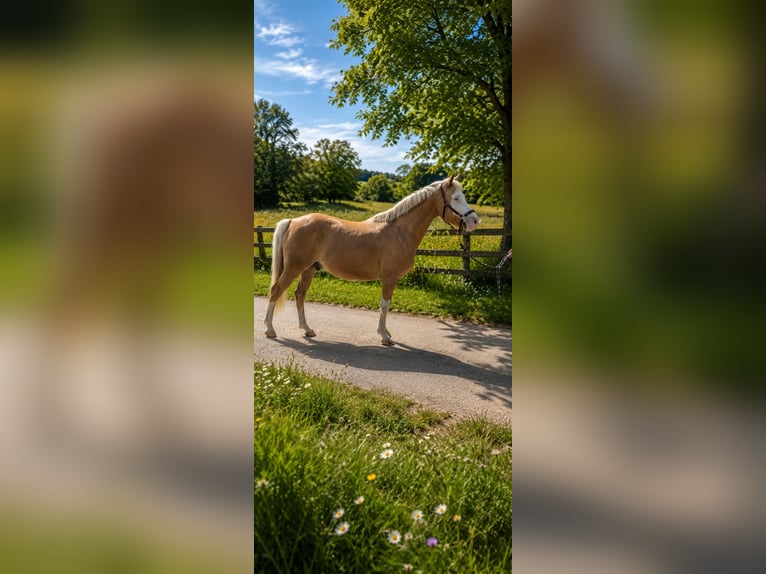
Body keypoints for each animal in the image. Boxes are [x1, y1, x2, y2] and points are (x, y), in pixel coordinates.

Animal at [263, 175, 481, 345]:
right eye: (456, 198)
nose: (475, 221)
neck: (400, 231)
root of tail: (293, 221)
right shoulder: (389, 277)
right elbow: (384, 304)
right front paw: (384, 336)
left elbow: (387, 304)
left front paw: (386, 332)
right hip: (293, 268)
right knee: (275, 291)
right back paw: (270, 329)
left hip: (309, 269)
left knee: (300, 295)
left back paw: (307, 329)